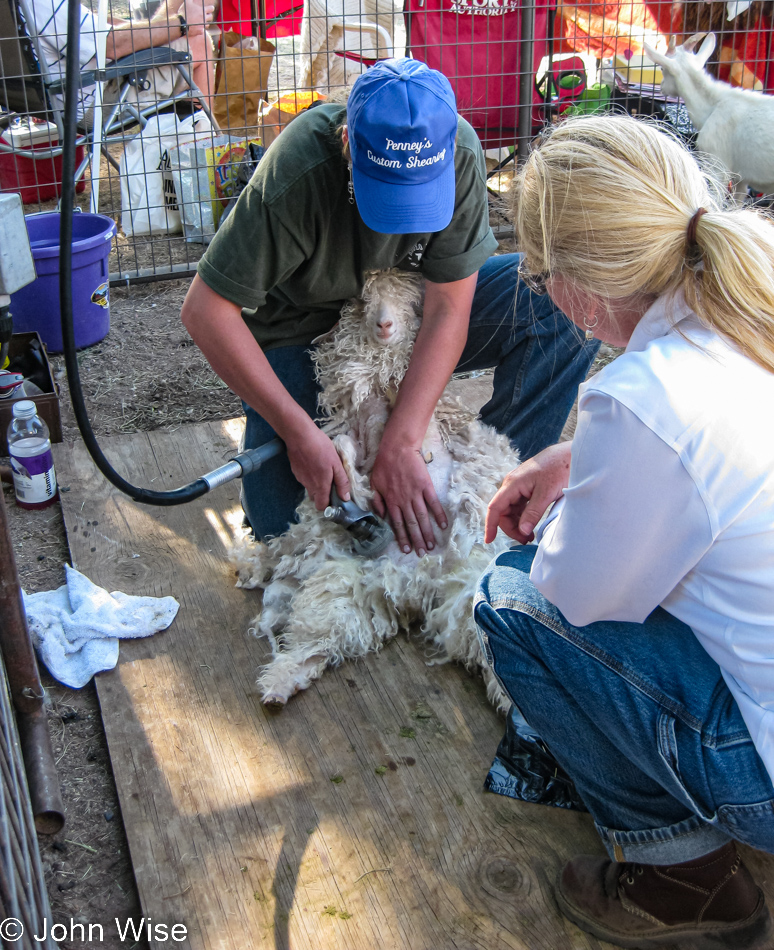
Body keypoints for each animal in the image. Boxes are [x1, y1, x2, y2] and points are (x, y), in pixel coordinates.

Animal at [230, 272, 520, 712]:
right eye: (363, 300)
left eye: (407, 297)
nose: (384, 325)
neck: (380, 384)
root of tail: (418, 585)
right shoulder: (348, 413)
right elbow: (343, 447)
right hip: (343, 586)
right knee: (316, 639)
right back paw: (280, 683)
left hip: (468, 590)